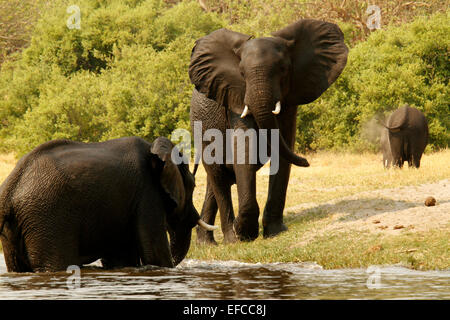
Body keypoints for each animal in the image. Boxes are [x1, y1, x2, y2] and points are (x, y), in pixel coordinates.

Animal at [0, 136, 216, 272]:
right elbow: (154, 253)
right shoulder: (147, 194)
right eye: (192, 185)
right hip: (47, 216)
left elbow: (121, 257)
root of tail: (10, 188)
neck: (155, 150)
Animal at [188, 18, 350, 242]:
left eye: (283, 69)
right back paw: (230, 239)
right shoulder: (235, 95)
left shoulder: (290, 97)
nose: (306, 161)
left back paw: (208, 243)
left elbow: (283, 147)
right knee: (217, 175)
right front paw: (245, 233)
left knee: (218, 180)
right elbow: (245, 146)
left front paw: (273, 231)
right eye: (241, 73)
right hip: (201, 124)